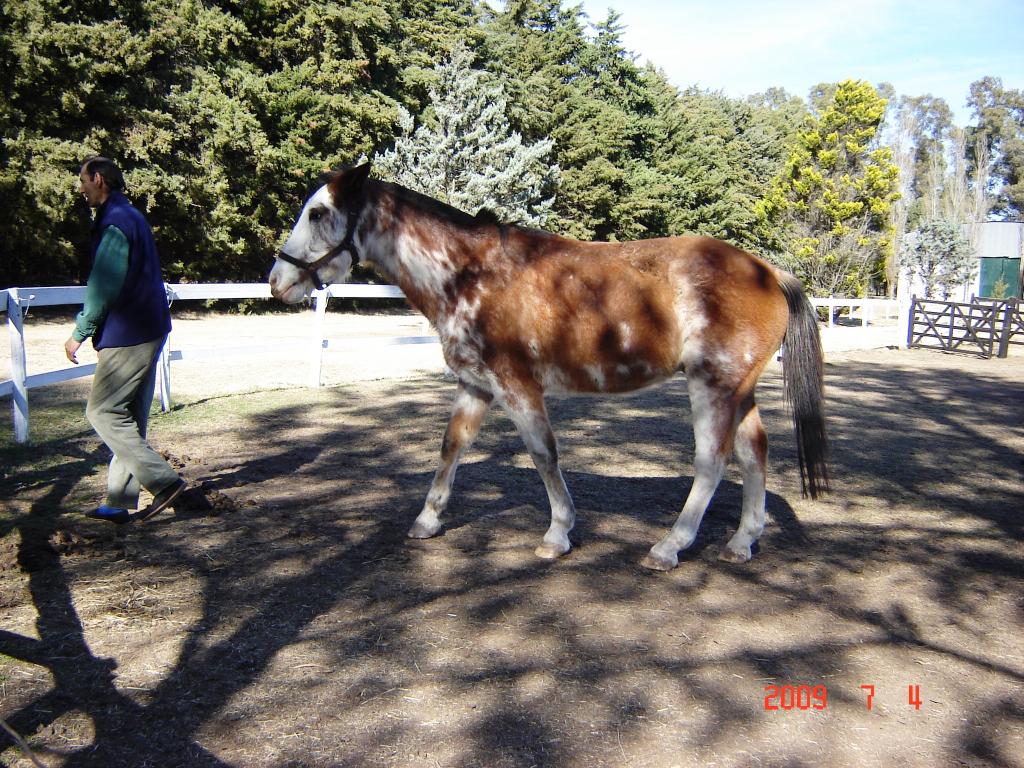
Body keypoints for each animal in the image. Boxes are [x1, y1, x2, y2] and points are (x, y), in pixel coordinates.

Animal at [268, 163, 827, 573]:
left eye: (318, 212)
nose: (277, 281)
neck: (470, 274)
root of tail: (767, 270)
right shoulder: (475, 386)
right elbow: (452, 445)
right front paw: (428, 519)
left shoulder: (518, 387)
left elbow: (543, 454)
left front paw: (558, 532)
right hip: (740, 391)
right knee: (754, 453)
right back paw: (742, 541)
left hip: (713, 387)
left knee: (711, 461)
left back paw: (669, 546)